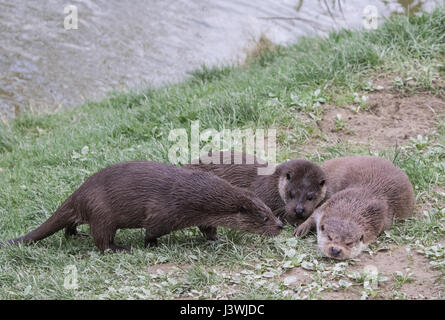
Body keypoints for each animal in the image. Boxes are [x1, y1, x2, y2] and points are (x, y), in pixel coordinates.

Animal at [0, 161, 282, 251]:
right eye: (264, 218)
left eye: (270, 211)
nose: (280, 225)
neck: (196, 197)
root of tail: (78, 194)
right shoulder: (166, 212)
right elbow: (151, 230)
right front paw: (150, 245)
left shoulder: (203, 217)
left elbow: (208, 229)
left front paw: (217, 239)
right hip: (102, 212)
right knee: (101, 241)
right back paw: (120, 248)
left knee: (71, 225)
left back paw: (76, 234)